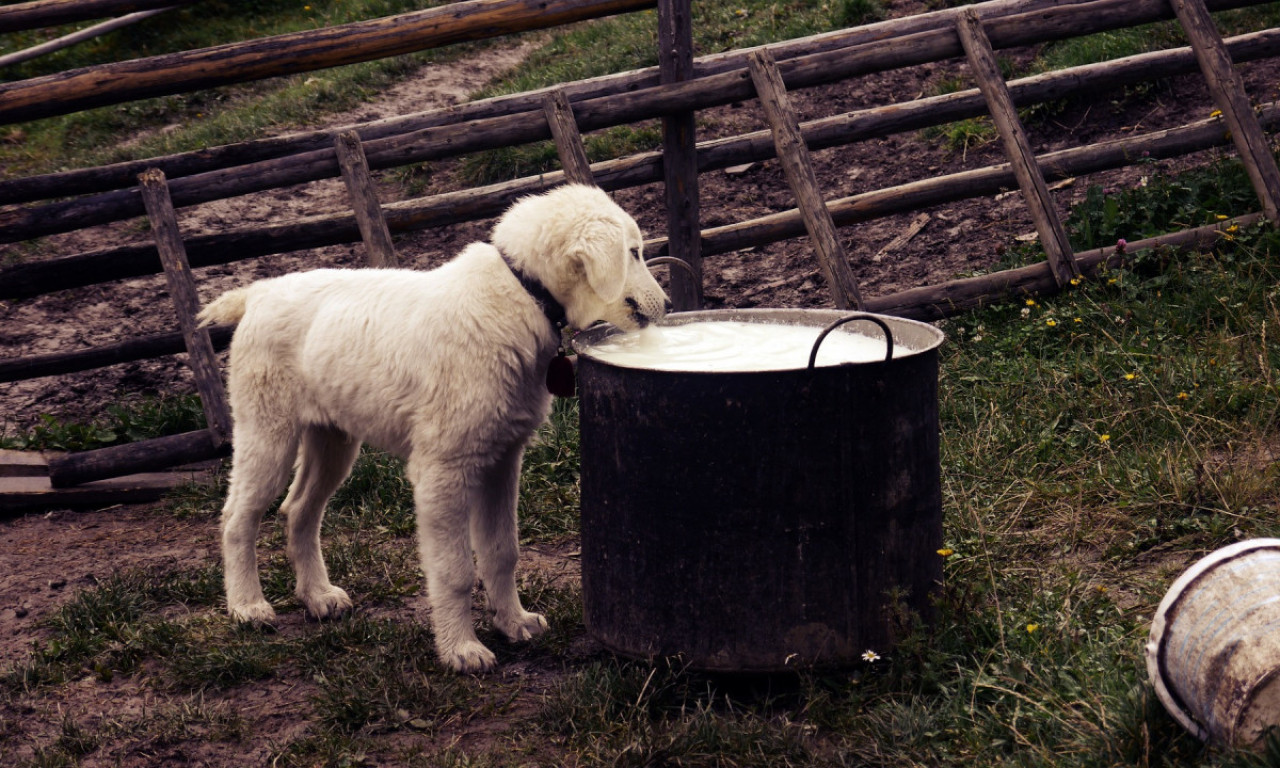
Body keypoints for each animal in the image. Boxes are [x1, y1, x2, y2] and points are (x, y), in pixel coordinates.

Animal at [199, 185, 670, 670]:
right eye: (634, 252)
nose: (668, 306)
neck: (521, 293)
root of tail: (260, 291)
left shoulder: (503, 458)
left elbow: (502, 552)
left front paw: (514, 623)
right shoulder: (444, 470)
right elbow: (455, 570)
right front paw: (461, 649)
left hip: (332, 438)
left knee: (299, 510)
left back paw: (318, 596)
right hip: (266, 428)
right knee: (238, 516)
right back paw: (248, 607)